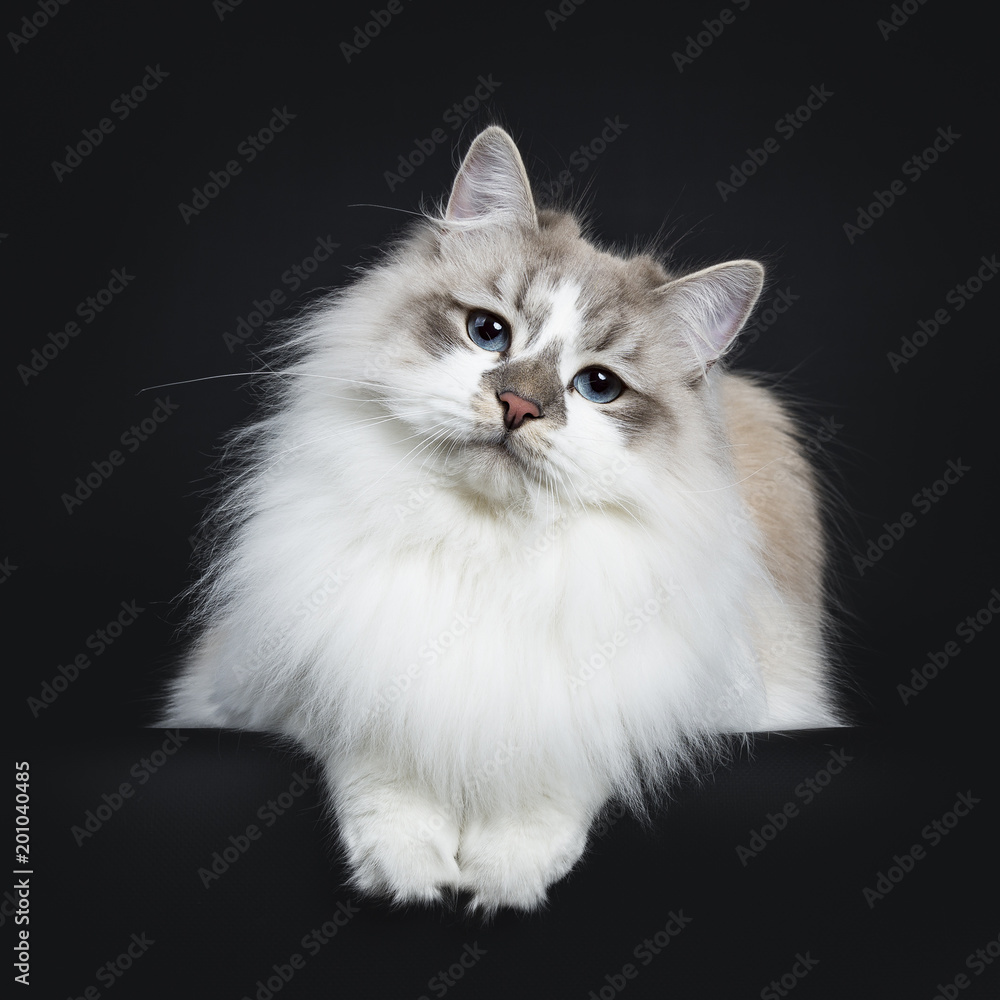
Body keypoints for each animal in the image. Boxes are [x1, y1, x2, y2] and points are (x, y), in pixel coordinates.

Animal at [166, 123, 844, 916]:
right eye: (488, 332)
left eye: (598, 387)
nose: (518, 406)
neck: (485, 545)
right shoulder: (280, 674)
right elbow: (379, 738)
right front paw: (411, 868)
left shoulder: (679, 695)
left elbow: (562, 755)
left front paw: (503, 872)